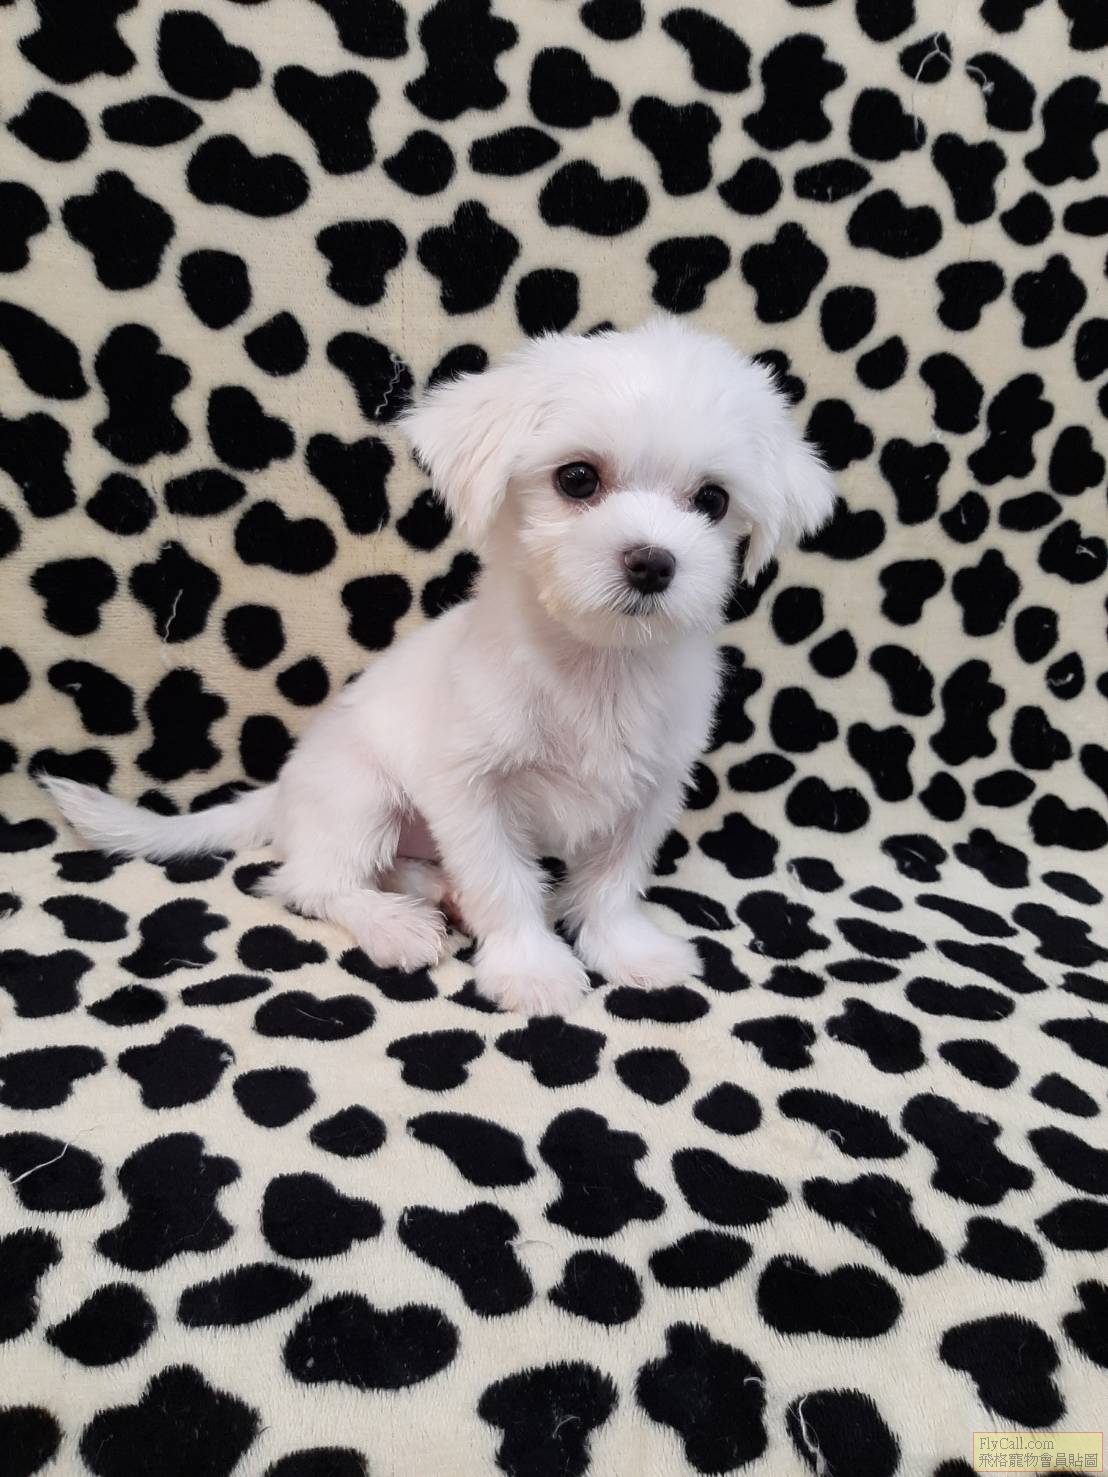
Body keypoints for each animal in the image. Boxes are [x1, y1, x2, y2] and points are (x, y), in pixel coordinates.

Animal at [42, 318, 835, 1015]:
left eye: (713, 499)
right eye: (578, 479)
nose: (653, 561)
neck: (595, 666)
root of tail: (281, 792)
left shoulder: (651, 790)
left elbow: (613, 882)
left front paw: (626, 950)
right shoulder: (471, 790)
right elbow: (503, 884)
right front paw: (531, 968)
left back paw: (429, 888)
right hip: (358, 794)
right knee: (309, 881)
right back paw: (394, 922)